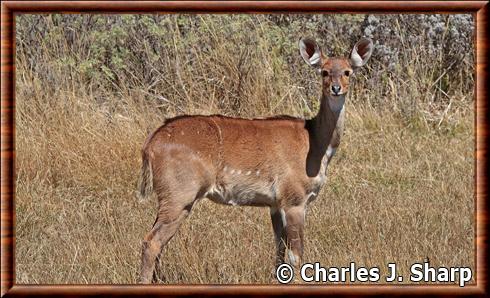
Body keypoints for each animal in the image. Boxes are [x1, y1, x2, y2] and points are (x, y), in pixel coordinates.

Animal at [136, 36, 374, 282]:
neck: (315, 144)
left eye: (347, 72)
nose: (336, 88)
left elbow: (279, 249)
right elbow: (296, 254)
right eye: (324, 72)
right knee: (151, 242)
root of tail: (150, 144)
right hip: (179, 194)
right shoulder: (294, 199)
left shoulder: (275, 204)